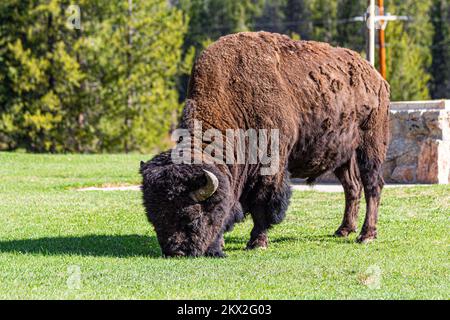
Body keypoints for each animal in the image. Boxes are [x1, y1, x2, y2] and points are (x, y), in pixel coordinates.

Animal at [142, 31, 390, 258]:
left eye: (191, 216)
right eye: (154, 217)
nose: (176, 252)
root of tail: (376, 78)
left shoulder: (271, 166)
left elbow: (262, 203)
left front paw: (257, 242)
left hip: (371, 145)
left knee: (372, 185)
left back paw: (366, 235)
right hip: (342, 155)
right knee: (352, 187)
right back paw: (344, 230)